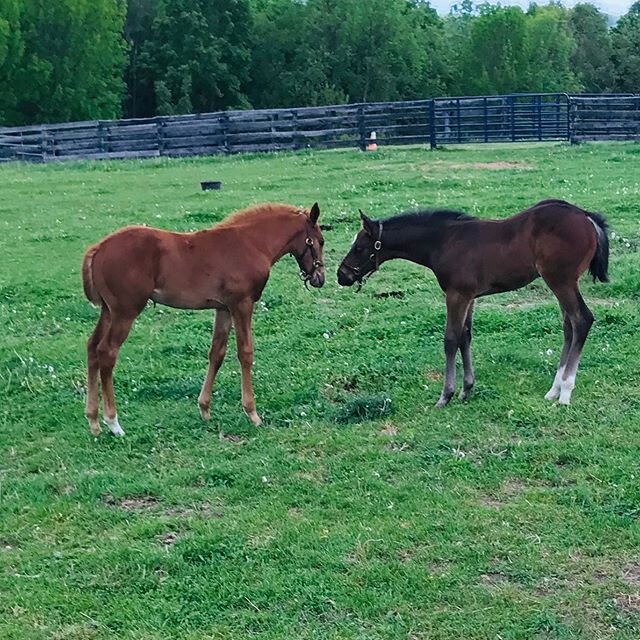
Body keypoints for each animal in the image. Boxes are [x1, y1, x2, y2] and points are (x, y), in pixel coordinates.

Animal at [82, 202, 324, 438]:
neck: (252, 244)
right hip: (125, 311)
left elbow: (216, 353)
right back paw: (113, 423)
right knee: (107, 351)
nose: (319, 278)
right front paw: (252, 414)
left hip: (108, 311)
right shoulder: (242, 304)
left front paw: (204, 408)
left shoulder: (223, 308)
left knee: (92, 347)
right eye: (318, 241)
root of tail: (98, 248)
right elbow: (245, 353)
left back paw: (93, 421)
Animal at [338, 200, 608, 408]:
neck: (443, 241)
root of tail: (586, 217)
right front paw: (466, 389)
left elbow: (450, 339)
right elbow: (465, 336)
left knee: (582, 319)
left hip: (560, 280)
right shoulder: (469, 296)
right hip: (562, 282)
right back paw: (554, 390)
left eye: (359, 248)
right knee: (569, 325)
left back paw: (565, 393)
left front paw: (445, 396)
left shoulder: (456, 294)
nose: (342, 275)